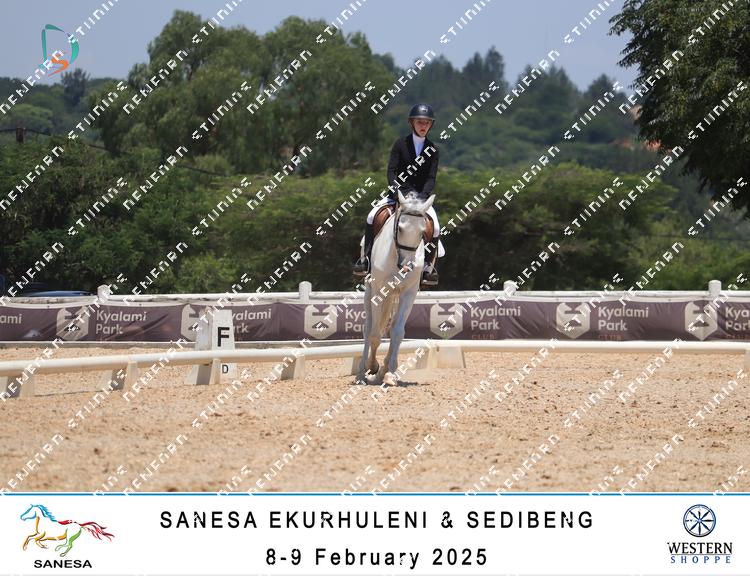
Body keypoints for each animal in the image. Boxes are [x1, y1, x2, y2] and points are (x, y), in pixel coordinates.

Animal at [356, 190, 436, 386]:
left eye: (423, 232)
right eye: (400, 228)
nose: (406, 267)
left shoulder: (409, 293)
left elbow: (397, 332)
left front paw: (390, 373)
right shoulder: (378, 291)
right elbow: (375, 334)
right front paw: (372, 367)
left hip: (395, 294)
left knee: (390, 327)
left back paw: (383, 369)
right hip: (370, 290)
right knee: (368, 328)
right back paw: (362, 372)